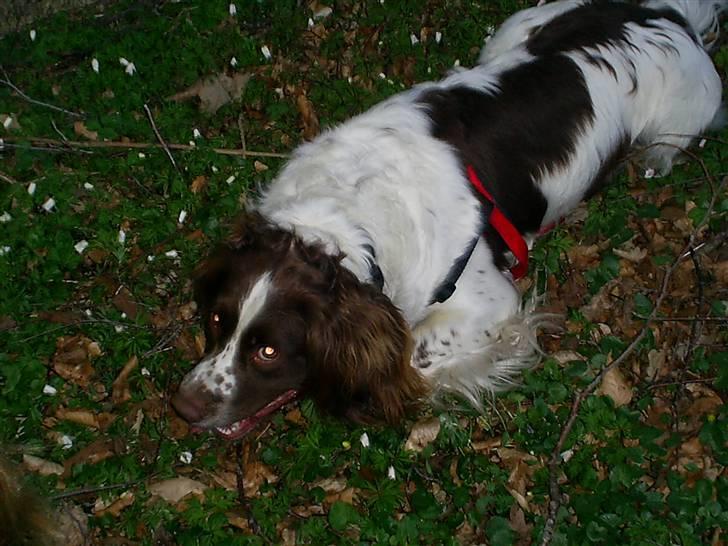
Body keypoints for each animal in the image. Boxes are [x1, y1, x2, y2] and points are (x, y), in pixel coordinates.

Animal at [169, 0, 724, 436]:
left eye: (267, 352)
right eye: (216, 319)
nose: (183, 407)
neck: (349, 215)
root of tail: (667, 15)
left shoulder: (491, 300)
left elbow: (412, 352)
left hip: (673, 127)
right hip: (517, 27)